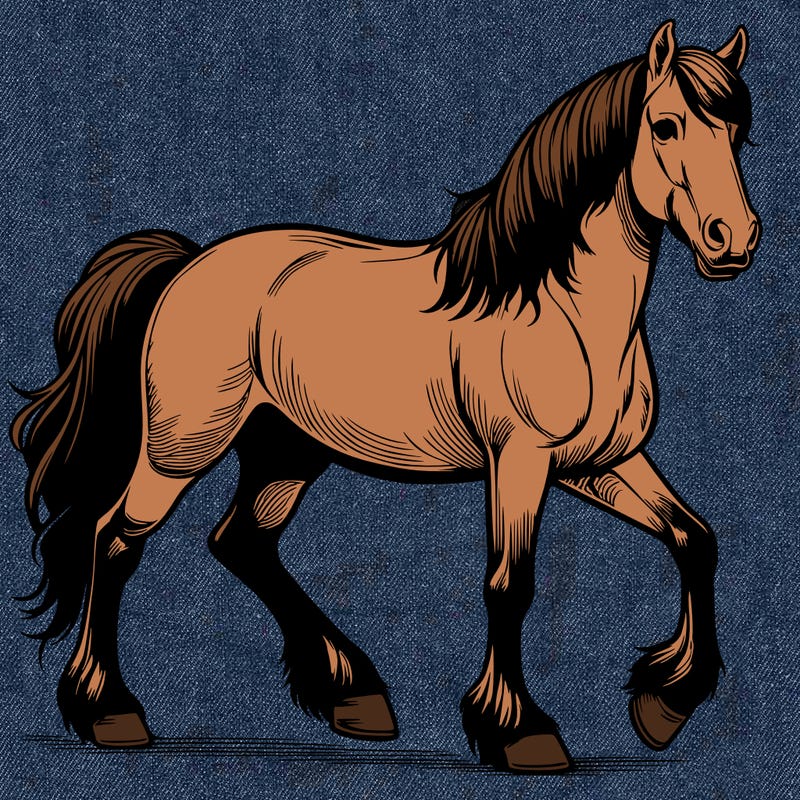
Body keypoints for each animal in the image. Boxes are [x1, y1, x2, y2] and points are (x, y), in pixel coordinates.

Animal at [11, 21, 759, 773]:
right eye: (665, 125)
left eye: (737, 130)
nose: (734, 240)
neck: (558, 309)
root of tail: (187, 266)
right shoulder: (519, 461)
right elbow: (510, 584)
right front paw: (521, 733)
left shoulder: (598, 463)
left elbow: (694, 538)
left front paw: (663, 706)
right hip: (181, 447)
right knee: (114, 541)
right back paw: (110, 713)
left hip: (287, 451)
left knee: (242, 542)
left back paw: (354, 695)